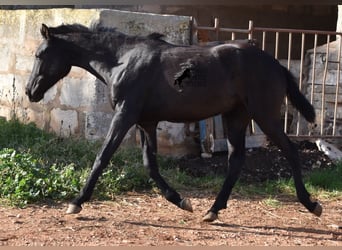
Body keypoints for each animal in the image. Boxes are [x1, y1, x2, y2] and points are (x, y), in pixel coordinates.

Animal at [26, 23, 320, 222]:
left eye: (40, 55)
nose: (30, 92)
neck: (122, 60)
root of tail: (276, 64)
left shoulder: (125, 115)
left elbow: (103, 156)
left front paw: (76, 202)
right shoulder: (146, 122)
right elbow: (150, 164)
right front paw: (182, 201)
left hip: (264, 115)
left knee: (290, 151)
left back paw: (311, 204)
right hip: (235, 117)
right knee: (236, 159)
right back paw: (212, 210)